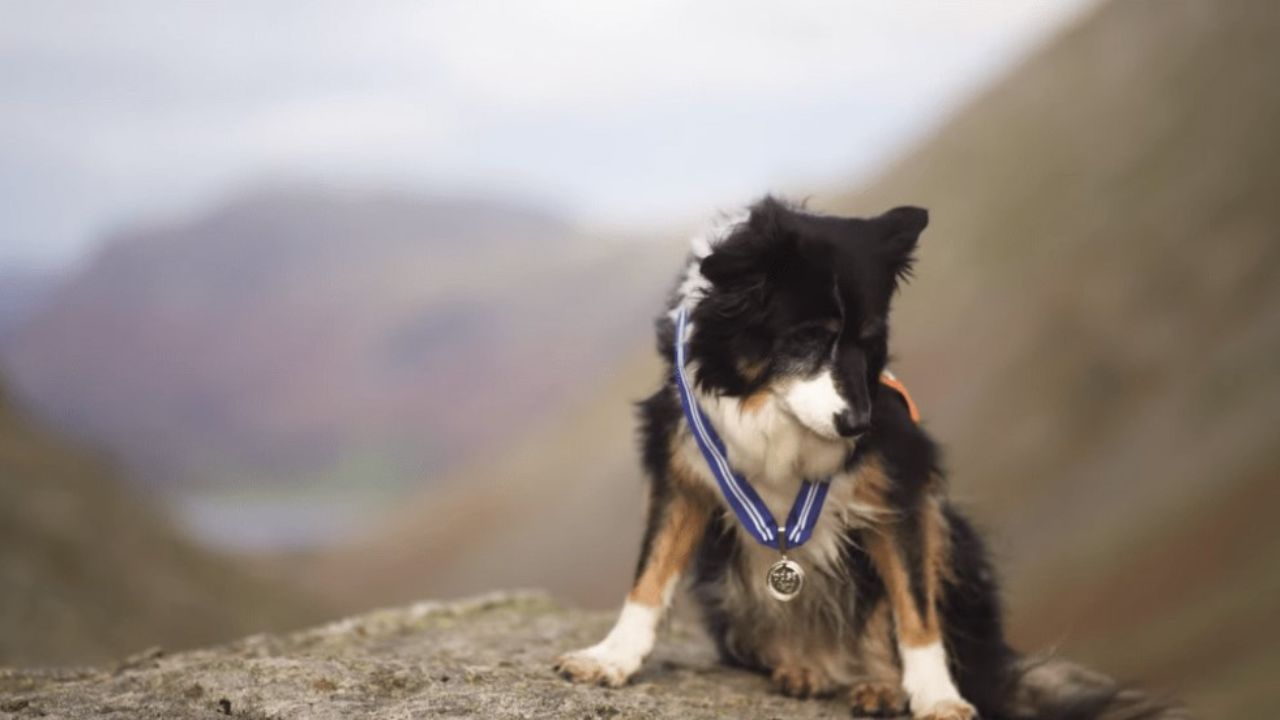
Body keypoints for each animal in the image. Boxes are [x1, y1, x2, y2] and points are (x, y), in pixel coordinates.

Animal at [550, 197, 1177, 717]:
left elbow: (915, 610)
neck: (769, 406)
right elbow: (649, 576)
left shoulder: (901, 485)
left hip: (955, 537)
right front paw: (610, 658)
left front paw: (936, 697)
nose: (858, 424)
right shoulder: (678, 466)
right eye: (806, 337)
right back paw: (803, 668)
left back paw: (880, 686)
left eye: (870, 341)